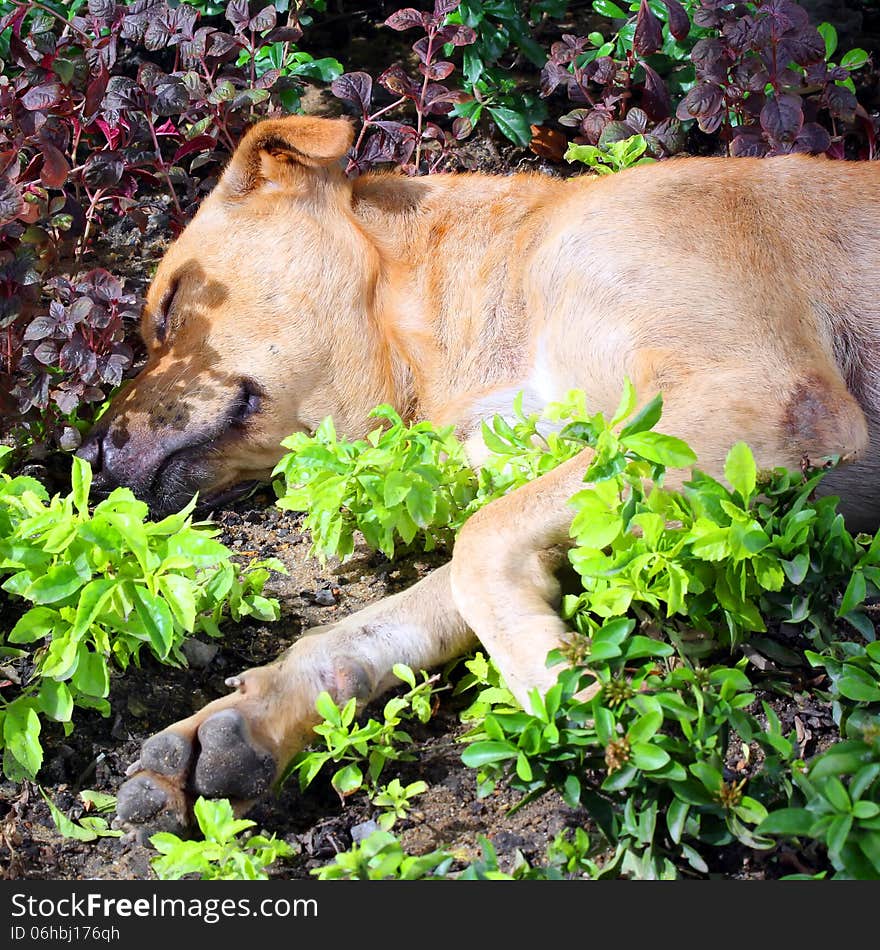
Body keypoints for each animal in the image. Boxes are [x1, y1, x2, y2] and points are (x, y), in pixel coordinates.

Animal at [77, 113, 880, 832]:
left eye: (170, 305)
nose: (88, 458)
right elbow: (410, 607)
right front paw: (257, 715)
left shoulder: (764, 398)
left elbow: (479, 540)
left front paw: (564, 689)